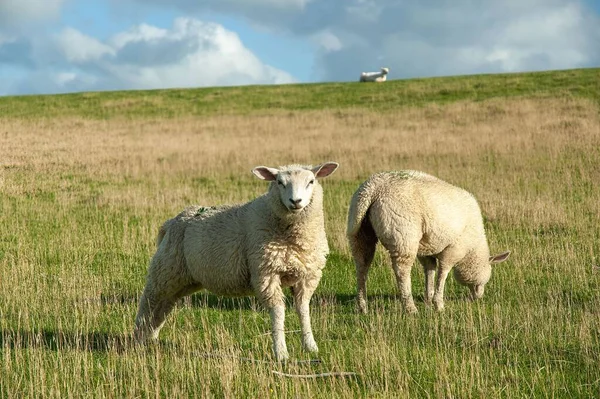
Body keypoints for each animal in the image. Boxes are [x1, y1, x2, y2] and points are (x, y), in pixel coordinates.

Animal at [134, 162, 340, 362]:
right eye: (280, 182)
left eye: (311, 181)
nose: (295, 201)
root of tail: (173, 221)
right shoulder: (266, 274)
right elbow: (278, 312)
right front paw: (281, 352)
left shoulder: (307, 276)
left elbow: (303, 310)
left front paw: (311, 346)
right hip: (166, 269)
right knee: (149, 300)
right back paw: (138, 337)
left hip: (183, 278)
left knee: (164, 305)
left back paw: (151, 336)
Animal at [346, 172, 510, 316]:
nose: (478, 297)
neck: (472, 250)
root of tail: (373, 189)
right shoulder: (453, 249)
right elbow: (443, 273)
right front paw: (438, 304)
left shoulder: (427, 249)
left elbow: (430, 270)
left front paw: (428, 299)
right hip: (403, 235)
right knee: (402, 271)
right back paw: (410, 308)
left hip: (359, 232)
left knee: (362, 266)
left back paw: (362, 306)